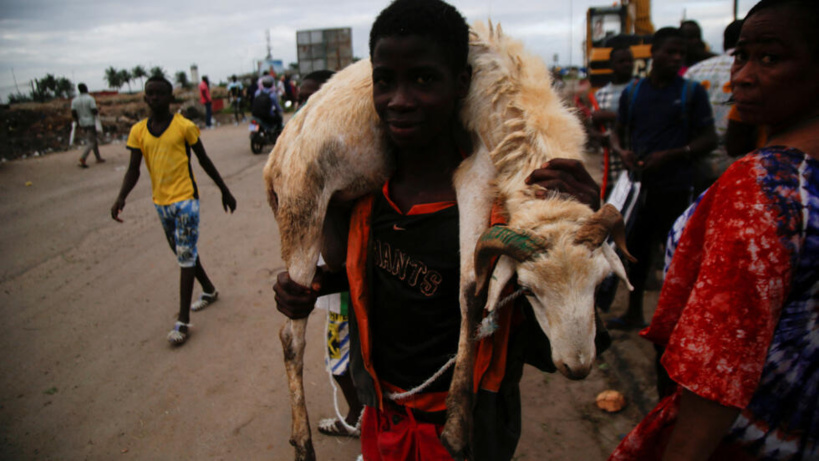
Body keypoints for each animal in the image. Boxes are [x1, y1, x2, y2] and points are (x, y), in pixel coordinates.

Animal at [264, 19, 636, 458]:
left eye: (599, 285)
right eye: (528, 291)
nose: (576, 367)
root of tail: (276, 157)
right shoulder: (477, 169)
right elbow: (472, 290)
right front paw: (457, 428)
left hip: (335, 216)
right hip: (301, 210)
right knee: (291, 336)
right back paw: (302, 441)